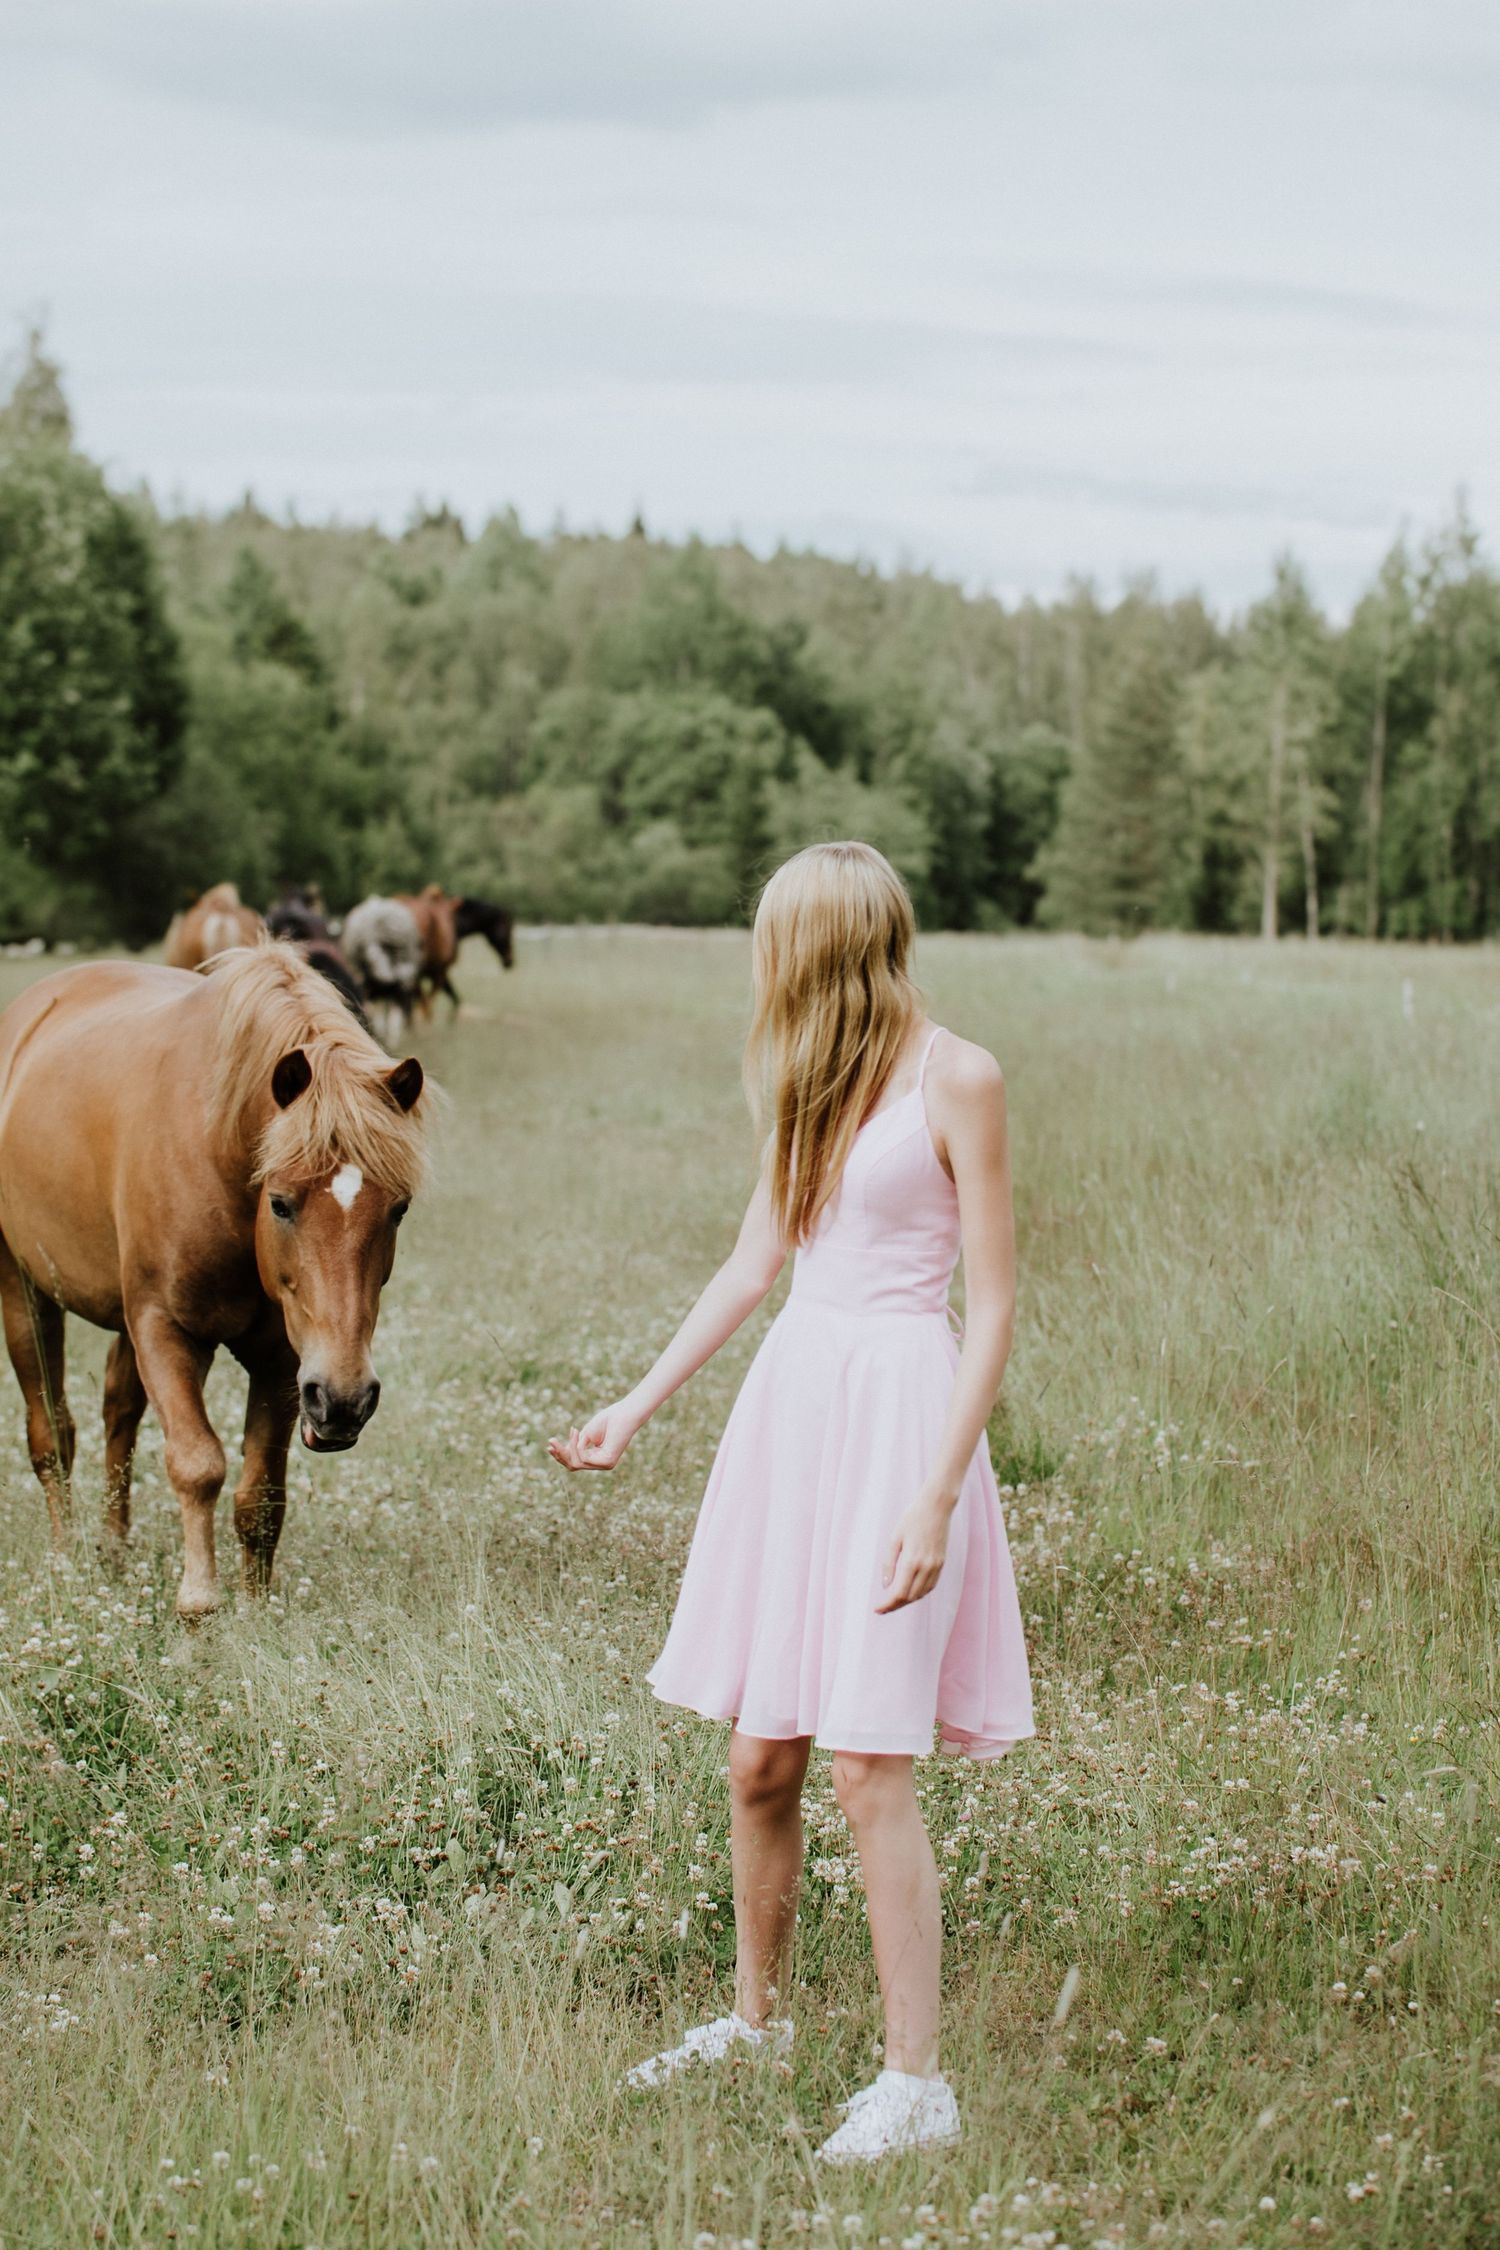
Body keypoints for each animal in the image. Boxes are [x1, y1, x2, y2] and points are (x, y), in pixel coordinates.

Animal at [0, 944, 430, 1616]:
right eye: (280, 1203)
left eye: (399, 1209)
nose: (344, 1400)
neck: (216, 1151)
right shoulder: (166, 1328)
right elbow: (197, 1464)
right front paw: (199, 1603)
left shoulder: (283, 1358)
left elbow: (260, 1494)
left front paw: (255, 1608)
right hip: (25, 1290)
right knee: (53, 1432)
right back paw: (64, 1558)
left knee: (118, 1415)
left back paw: (113, 1548)